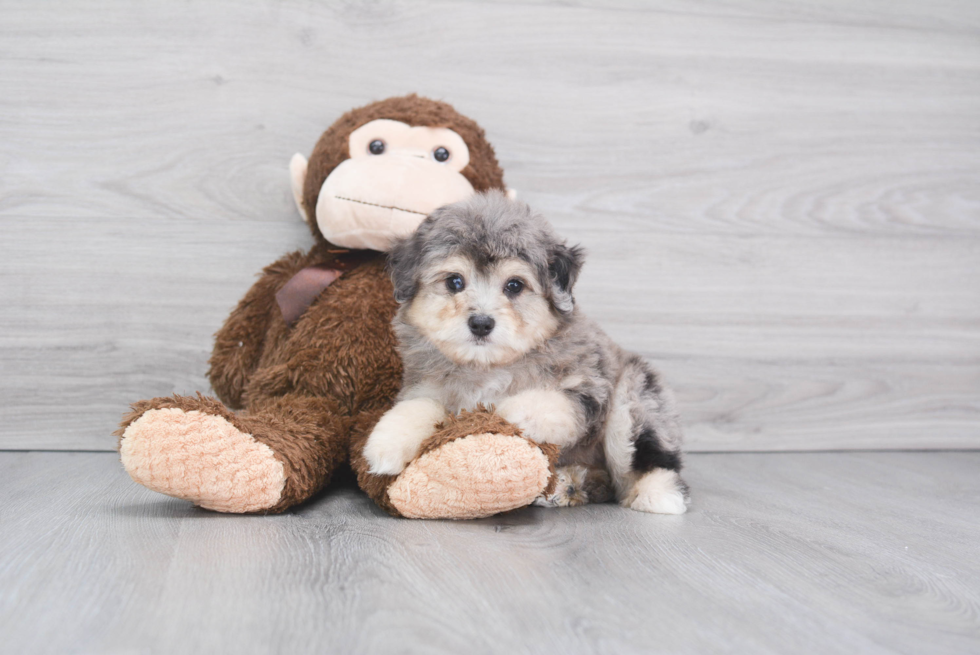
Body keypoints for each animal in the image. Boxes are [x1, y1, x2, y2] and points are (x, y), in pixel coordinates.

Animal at [364, 192, 692, 516]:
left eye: (514, 285)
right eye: (455, 281)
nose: (481, 323)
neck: (487, 366)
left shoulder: (590, 387)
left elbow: (551, 401)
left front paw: (505, 411)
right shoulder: (423, 386)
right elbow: (417, 406)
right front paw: (386, 443)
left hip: (634, 397)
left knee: (644, 459)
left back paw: (657, 494)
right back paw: (568, 485)